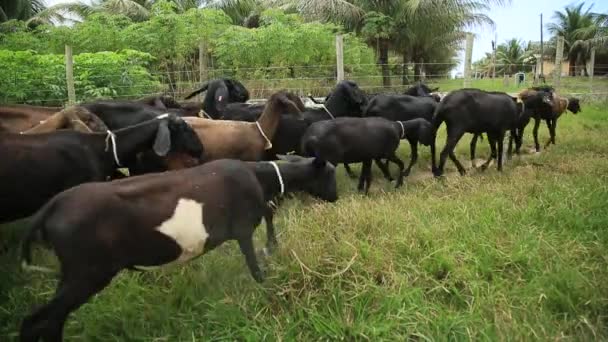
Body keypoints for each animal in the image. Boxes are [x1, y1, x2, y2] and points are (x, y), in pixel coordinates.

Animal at [17, 156, 338, 342]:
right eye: (330, 175)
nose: (336, 197)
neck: (258, 177)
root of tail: (52, 206)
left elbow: (270, 213)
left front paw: (272, 247)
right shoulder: (243, 227)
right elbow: (255, 259)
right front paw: (268, 268)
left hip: (74, 275)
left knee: (52, 320)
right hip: (86, 273)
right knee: (37, 321)